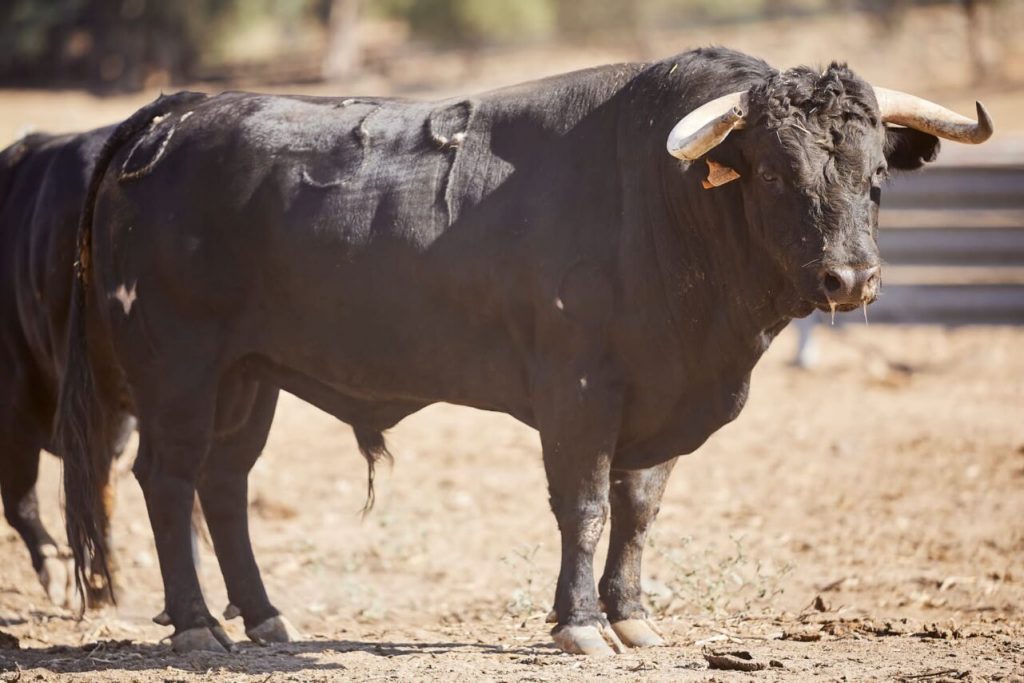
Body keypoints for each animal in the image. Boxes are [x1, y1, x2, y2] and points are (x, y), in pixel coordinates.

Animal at [59, 45, 970, 655]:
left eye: (876, 177)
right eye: (779, 175)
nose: (849, 278)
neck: (661, 203)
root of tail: (180, 112)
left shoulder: (661, 395)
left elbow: (639, 510)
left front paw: (631, 615)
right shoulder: (578, 392)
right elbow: (586, 507)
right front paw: (581, 624)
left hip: (249, 378)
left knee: (224, 484)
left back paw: (265, 619)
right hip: (179, 368)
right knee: (168, 480)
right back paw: (198, 627)